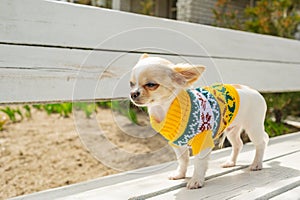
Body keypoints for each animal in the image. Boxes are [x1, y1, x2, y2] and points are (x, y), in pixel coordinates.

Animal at [129, 53, 270, 189]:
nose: (133, 94)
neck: (165, 109)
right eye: (131, 84)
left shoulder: (202, 140)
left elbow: (199, 162)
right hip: (232, 130)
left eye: (151, 85)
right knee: (238, 144)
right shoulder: (177, 143)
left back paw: (257, 164)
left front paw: (196, 180)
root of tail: (253, 90)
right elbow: (183, 160)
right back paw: (231, 162)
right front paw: (180, 174)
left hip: (253, 127)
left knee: (261, 143)